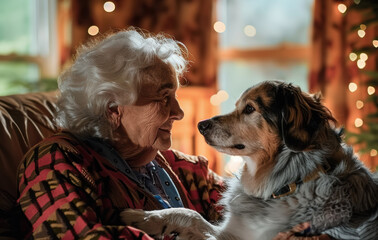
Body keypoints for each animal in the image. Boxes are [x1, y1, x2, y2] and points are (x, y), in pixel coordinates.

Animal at [121, 81, 378, 240]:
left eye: (250, 109)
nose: (201, 125)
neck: (285, 184)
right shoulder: (232, 230)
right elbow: (189, 215)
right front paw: (142, 217)